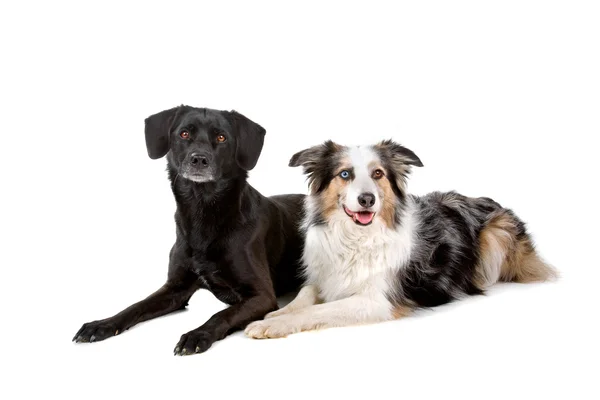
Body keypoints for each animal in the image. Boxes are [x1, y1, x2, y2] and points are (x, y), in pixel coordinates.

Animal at [74, 105, 304, 354]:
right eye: (184, 134)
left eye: (221, 137)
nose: (199, 159)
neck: (202, 210)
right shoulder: (175, 289)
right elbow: (136, 305)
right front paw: (103, 324)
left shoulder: (262, 295)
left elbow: (222, 314)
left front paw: (197, 335)